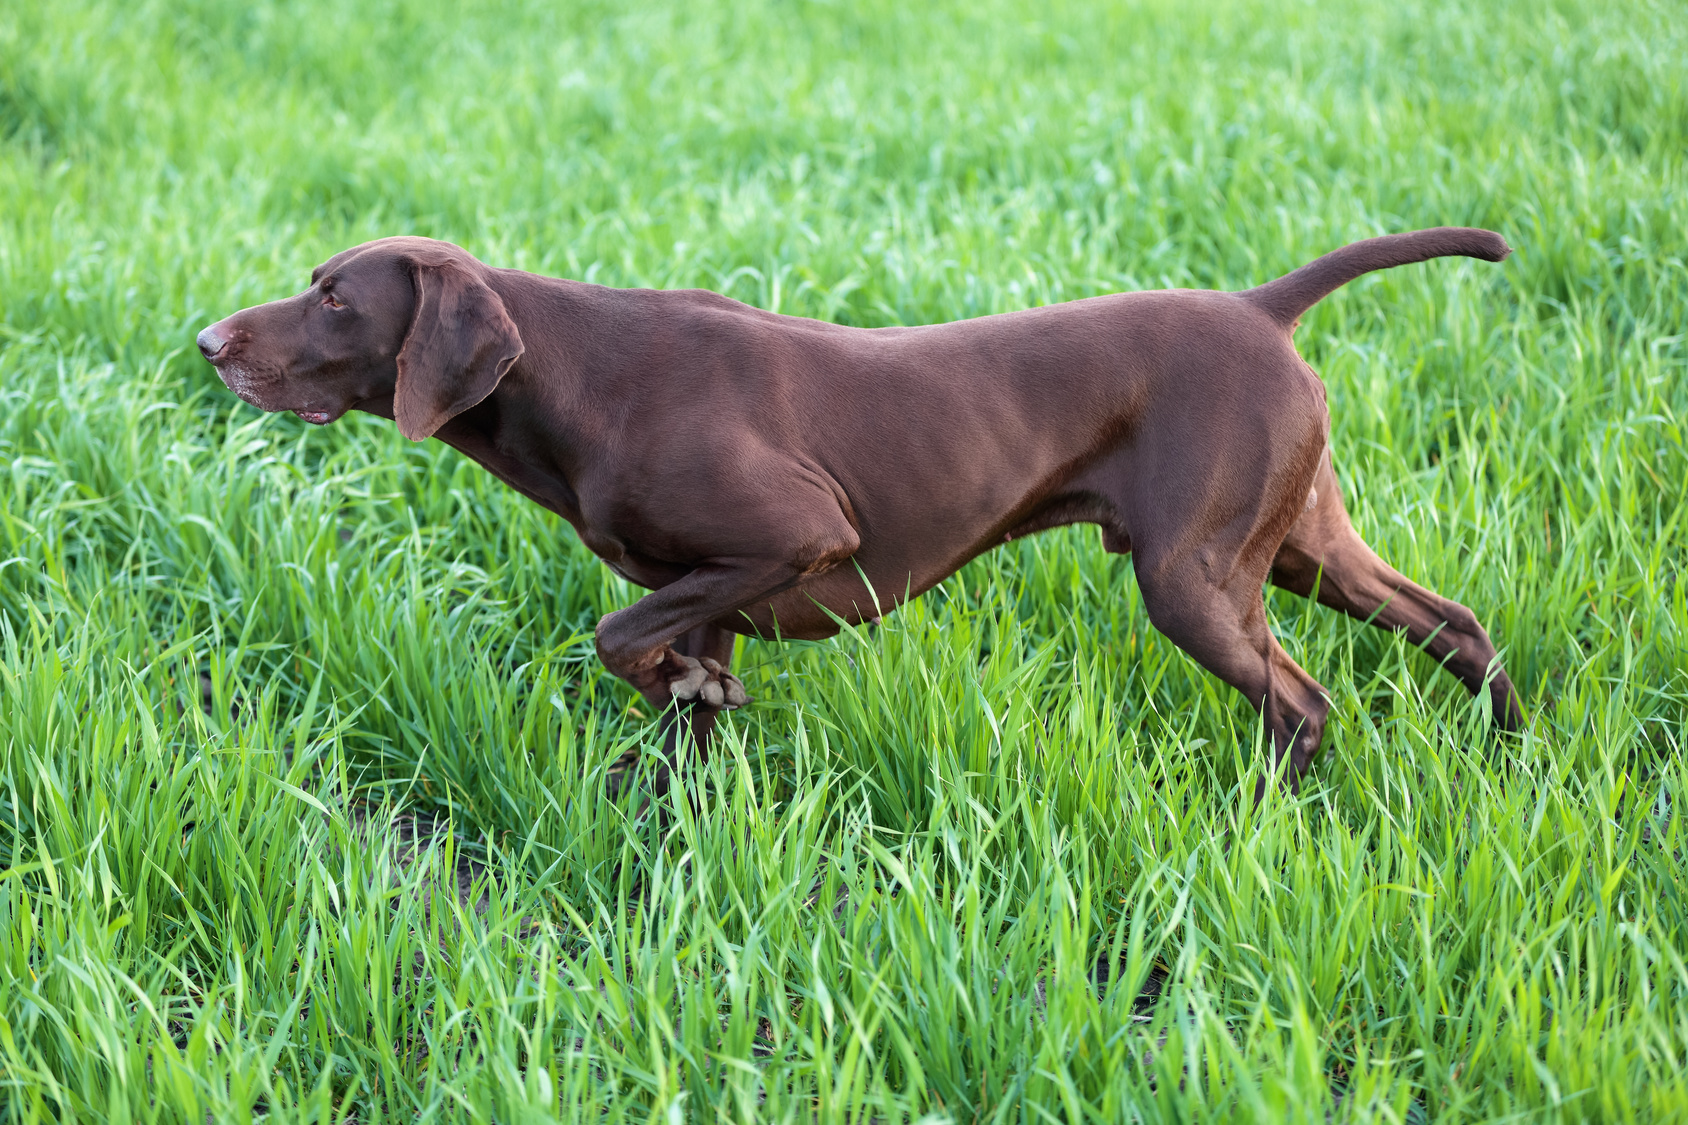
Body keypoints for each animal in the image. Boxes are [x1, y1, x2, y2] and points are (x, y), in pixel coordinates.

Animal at [200, 226, 1532, 787]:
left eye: (334, 299)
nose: (208, 343)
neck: (577, 376)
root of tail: (1260, 309)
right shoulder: (710, 589)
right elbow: (679, 699)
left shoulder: (795, 537)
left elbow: (621, 638)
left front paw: (683, 693)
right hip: (1300, 545)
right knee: (1455, 623)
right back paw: (1514, 751)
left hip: (1192, 579)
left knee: (1299, 705)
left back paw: (1256, 820)